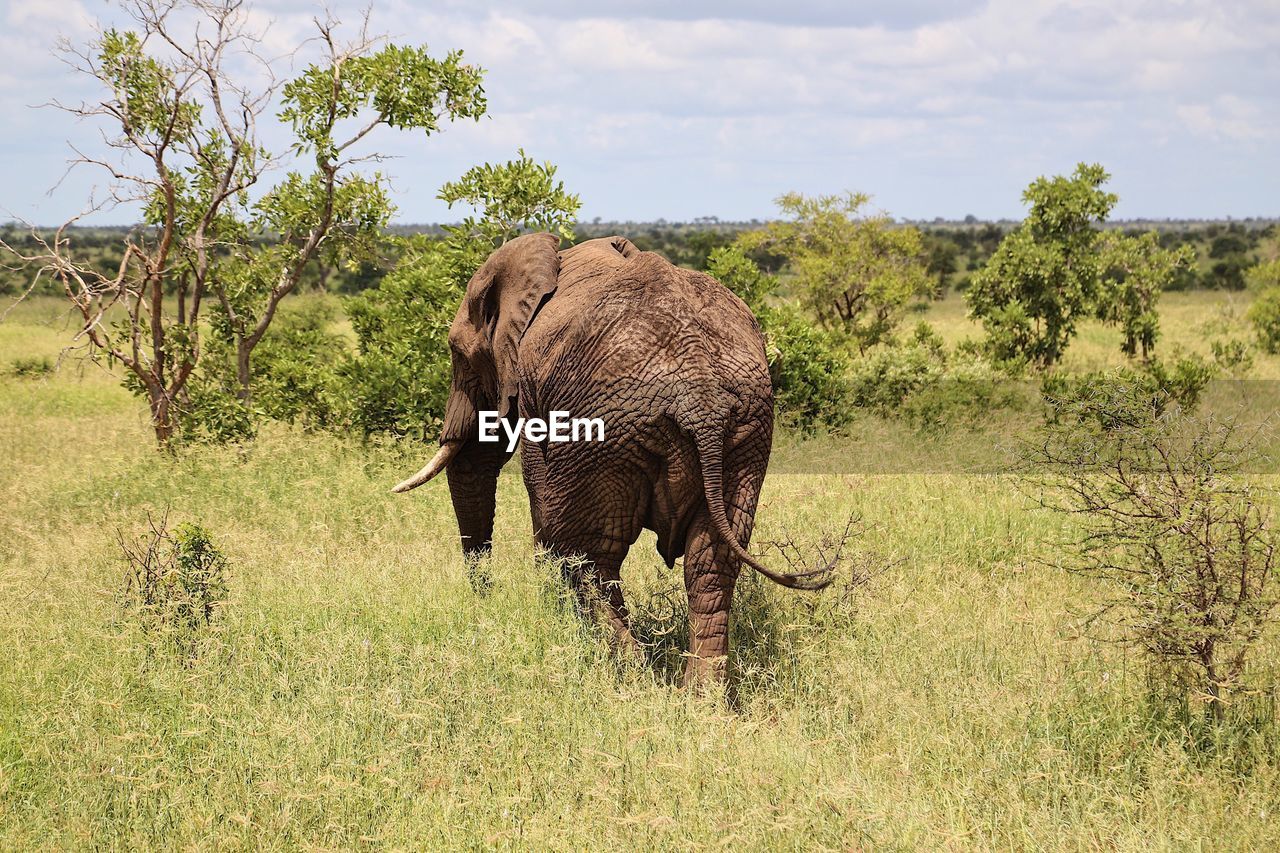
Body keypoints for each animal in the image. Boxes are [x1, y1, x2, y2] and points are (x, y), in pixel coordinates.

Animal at [391, 233, 829, 686]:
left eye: (459, 356)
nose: (487, 598)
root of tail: (700, 395)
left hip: (602, 429)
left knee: (582, 555)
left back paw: (634, 677)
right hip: (745, 430)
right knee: (709, 561)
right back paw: (700, 693)